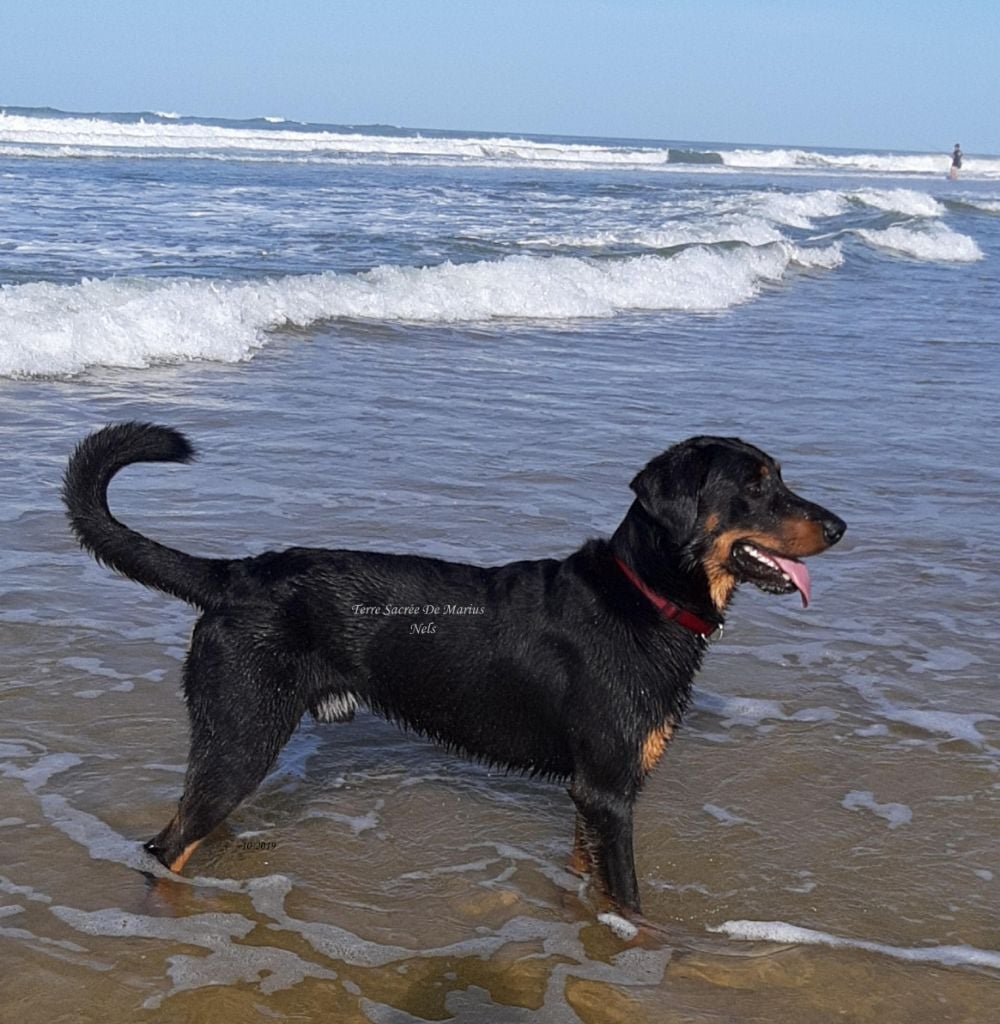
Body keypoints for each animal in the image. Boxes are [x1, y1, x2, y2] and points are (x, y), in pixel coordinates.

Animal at [63, 424, 845, 918]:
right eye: (756, 488)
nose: (840, 527)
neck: (644, 598)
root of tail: (234, 577)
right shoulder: (607, 791)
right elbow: (628, 901)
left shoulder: (592, 798)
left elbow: (590, 886)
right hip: (241, 735)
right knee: (165, 848)